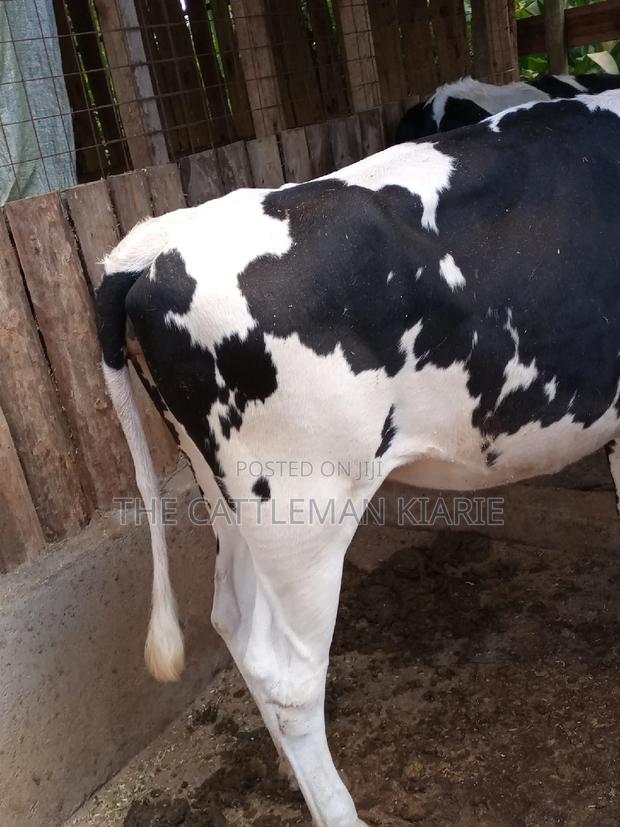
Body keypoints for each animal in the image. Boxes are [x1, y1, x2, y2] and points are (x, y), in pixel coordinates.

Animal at [97, 91, 620, 826]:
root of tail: (152, 245)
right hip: (302, 503)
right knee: (287, 673)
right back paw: (337, 810)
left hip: (224, 489)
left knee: (231, 614)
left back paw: (289, 774)